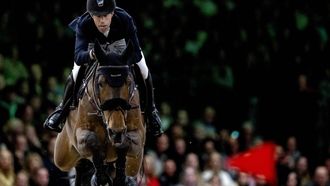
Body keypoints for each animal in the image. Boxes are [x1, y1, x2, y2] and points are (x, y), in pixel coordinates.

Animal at [53, 41, 146, 186]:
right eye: (100, 83)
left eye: (129, 82)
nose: (116, 130)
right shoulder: (80, 134)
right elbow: (92, 141)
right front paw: (100, 178)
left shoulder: (138, 135)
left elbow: (125, 143)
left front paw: (119, 178)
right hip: (62, 156)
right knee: (78, 164)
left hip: (135, 163)